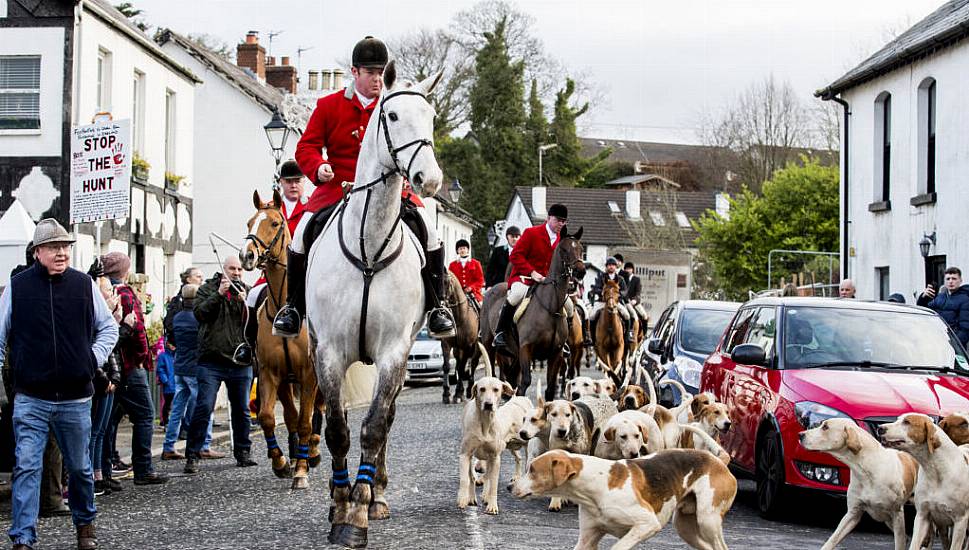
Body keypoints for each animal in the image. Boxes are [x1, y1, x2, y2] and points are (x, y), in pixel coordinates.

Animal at [241, 191, 326, 492]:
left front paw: (301, 470)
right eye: (250, 223)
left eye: (276, 223)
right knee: (291, 415)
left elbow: (305, 422)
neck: (285, 308)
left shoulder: (309, 374)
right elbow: (270, 417)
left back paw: (312, 451)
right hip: (286, 382)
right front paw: (280, 462)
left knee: (318, 411)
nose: (247, 255)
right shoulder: (271, 373)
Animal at [304, 59, 444, 548]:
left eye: (432, 118)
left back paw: (378, 493)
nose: (429, 181)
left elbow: (375, 425)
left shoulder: (393, 352)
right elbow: (338, 429)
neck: (368, 246)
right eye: (393, 116)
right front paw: (339, 503)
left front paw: (360, 510)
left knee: (389, 418)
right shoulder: (329, 351)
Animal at [442, 272, 480, 406]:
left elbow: (462, 368)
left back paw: (468, 390)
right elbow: (447, 366)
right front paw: (446, 394)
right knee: (459, 363)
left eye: (446, 282)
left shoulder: (467, 345)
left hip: (475, 347)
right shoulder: (446, 344)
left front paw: (458, 394)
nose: (441, 305)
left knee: (473, 363)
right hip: (458, 349)